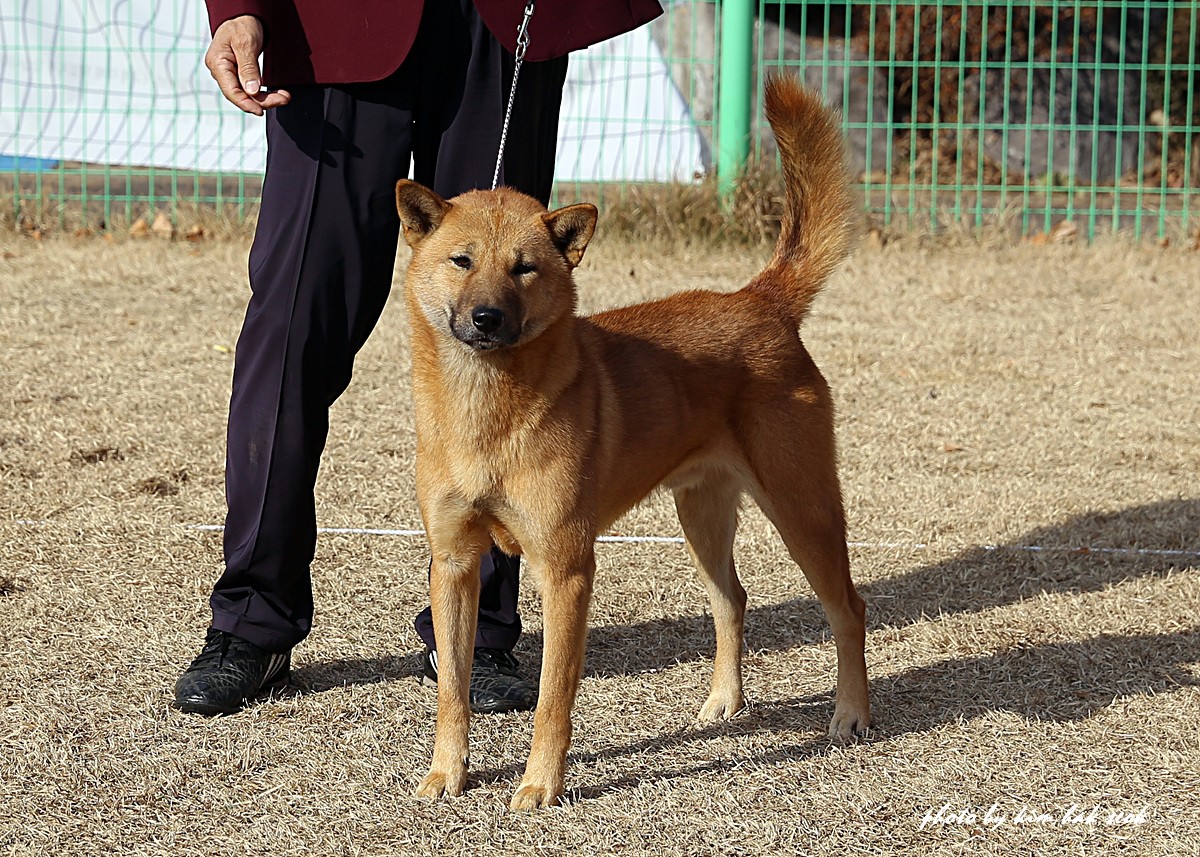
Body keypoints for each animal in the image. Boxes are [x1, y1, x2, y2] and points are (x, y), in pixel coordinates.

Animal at [394, 76, 869, 811]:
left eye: (525, 268)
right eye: (461, 260)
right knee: (732, 600)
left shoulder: (565, 568)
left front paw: (541, 784)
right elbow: (452, 690)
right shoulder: (452, 563)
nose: (487, 317)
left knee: (848, 609)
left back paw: (851, 714)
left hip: (803, 510)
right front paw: (449, 773)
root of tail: (761, 301)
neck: (489, 412)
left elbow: (552, 698)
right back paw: (723, 703)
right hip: (702, 515)